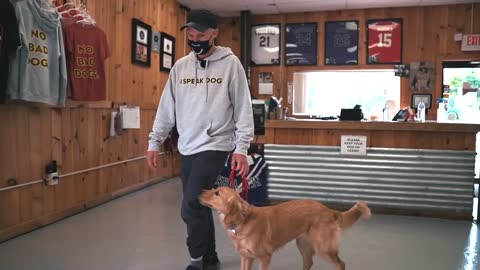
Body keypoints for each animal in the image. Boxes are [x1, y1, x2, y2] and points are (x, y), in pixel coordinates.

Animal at [199, 187, 372, 270]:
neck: (244, 220)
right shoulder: (246, 257)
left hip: (324, 249)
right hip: (303, 245)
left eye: (217, 193)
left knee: (340, 264)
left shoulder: (265, 257)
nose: (199, 191)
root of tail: (329, 210)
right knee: (309, 263)